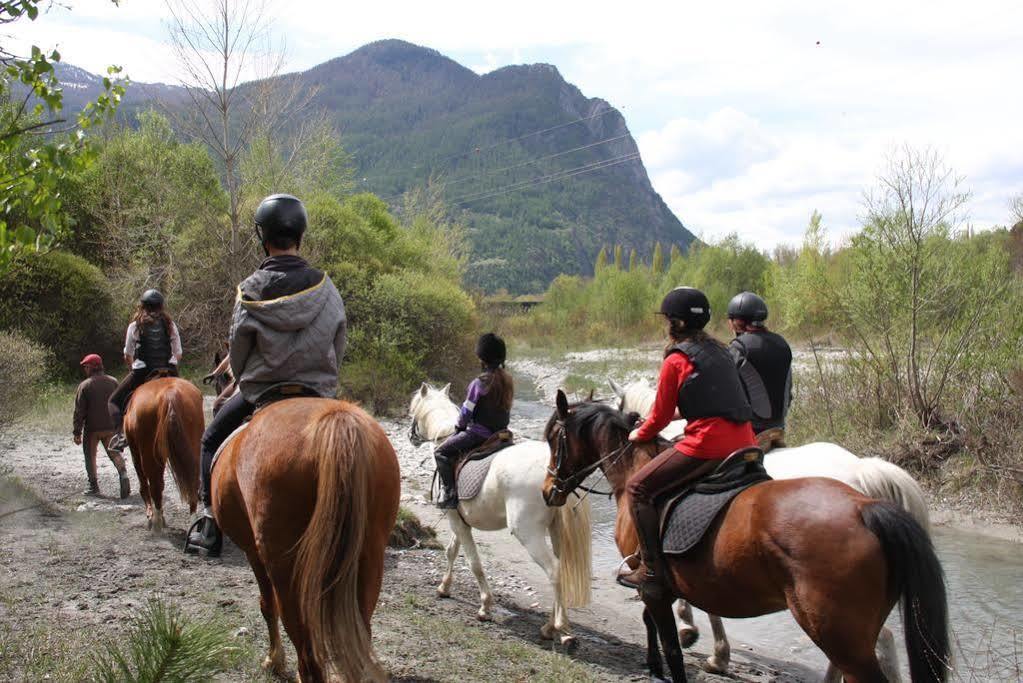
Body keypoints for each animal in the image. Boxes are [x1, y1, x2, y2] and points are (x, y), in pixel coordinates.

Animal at [123, 376, 203, 531]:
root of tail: (169, 393)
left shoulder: (135, 451)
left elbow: (144, 484)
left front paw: (150, 515)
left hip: (148, 455)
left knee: (154, 485)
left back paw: (157, 523)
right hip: (193, 448)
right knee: (193, 480)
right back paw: (193, 521)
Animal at [211, 396, 398, 678]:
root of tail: (335, 418)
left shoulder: (253, 553)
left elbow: (267, 605)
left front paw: (274, 660)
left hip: (286, 569)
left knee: (307, 655)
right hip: (369, 557)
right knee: (361, 634)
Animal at [407, 384, 593, 646]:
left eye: (413, 410)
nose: (411, 436)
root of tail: (559, 475)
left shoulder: (456, 520)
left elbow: (474, 563)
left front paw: (485, 606)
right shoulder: (459, 520)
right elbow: (452, 551)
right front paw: (444, 587)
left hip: (528, 533)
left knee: (554, 570)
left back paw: (559, 628)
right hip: (557, 531)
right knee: (561, 572)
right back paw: (554, 628)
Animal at [544, 392, 949, 683]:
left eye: (553, 438)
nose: (550, 490)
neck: (636, 468)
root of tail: (865, 504)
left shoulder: (654, 580)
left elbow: (674, 639)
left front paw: (699, 648)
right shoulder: (679, 579)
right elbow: (661, 618)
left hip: (838, 628)